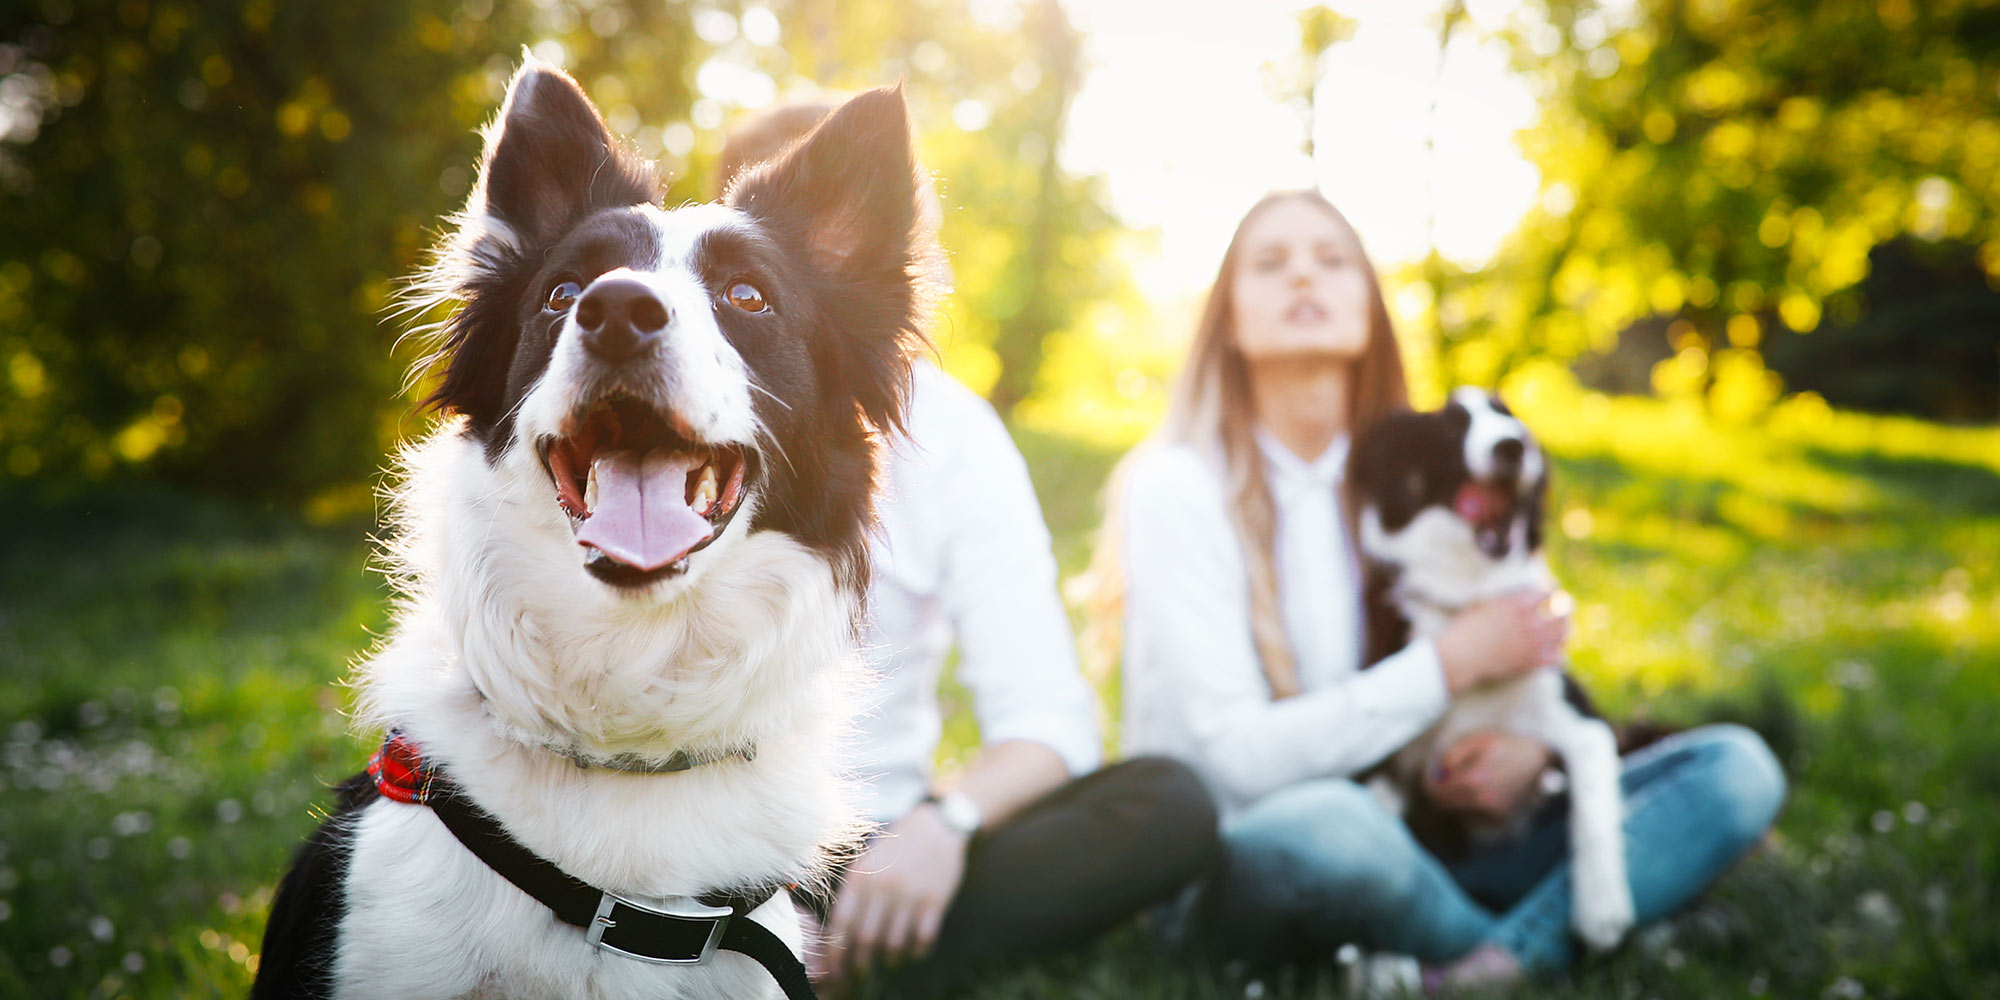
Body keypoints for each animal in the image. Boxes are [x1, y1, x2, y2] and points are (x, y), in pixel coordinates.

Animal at [1352, 388, 1632, 952]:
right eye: (1450, 428)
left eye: (1510, 418)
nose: (1512, 446)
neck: (1473, 599)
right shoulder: (1386, 760)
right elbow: (1386, 844)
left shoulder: (1580, 719)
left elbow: (1593, 805)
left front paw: (1602, 911)